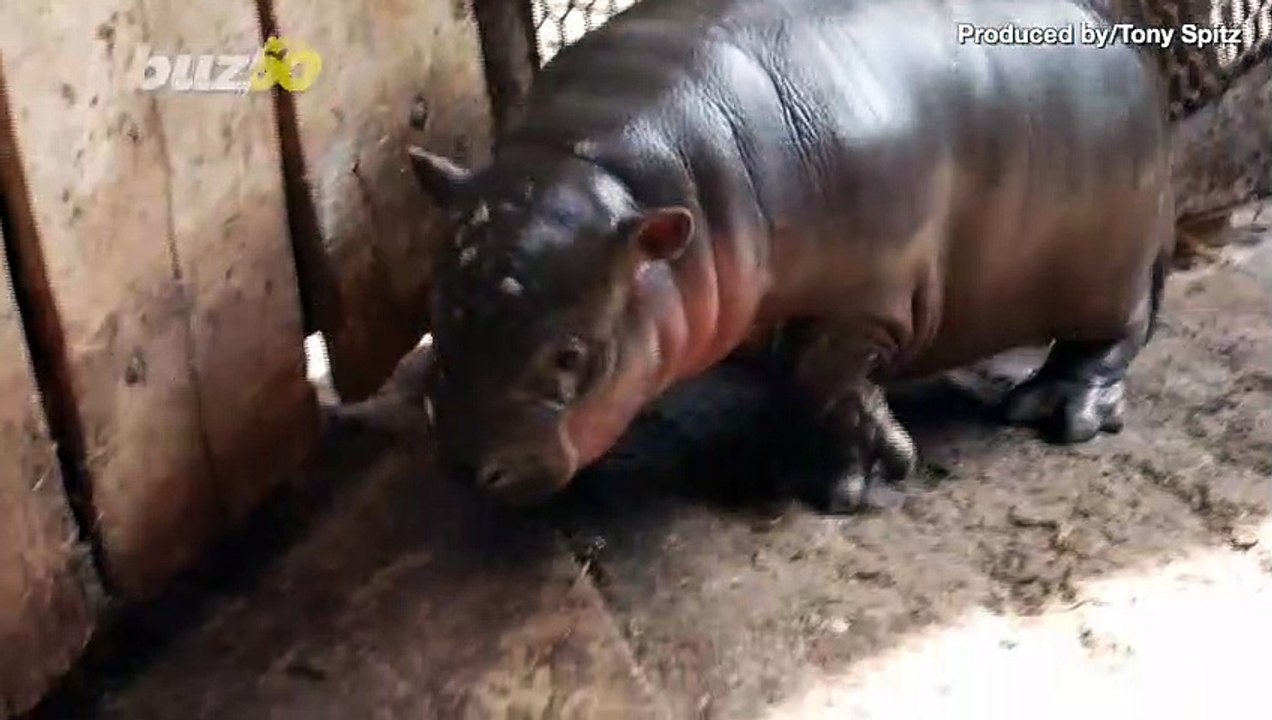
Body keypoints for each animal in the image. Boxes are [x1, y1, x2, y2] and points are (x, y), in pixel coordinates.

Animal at [406, 0, 1174, 510]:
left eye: (571, 354)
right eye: (436, 317)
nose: (467, 465)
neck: (604, 172)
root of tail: (1124, 41)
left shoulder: (866, 299)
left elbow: (821, 375)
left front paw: (842, 486)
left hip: (1110, 271)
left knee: (1119, 335)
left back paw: (1056, 410)